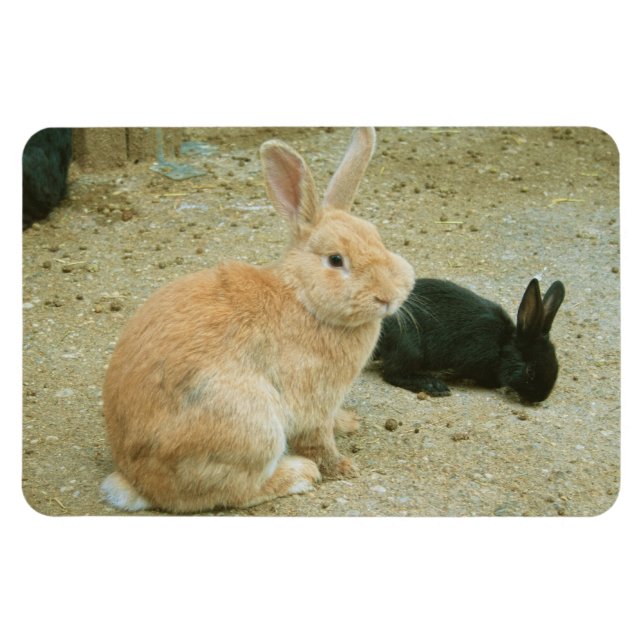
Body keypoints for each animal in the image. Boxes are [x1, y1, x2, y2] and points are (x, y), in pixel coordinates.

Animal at [101, 127, 415, 513]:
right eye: (336, 260)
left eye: (377, 238)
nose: (388, 295)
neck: (303, 298)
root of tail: (138, 482)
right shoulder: (312, 400)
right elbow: (318, 440)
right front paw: (342, 467)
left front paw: (348, 422)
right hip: (253, 424)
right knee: (234, 491)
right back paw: (300, 474)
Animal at [374, 277, 565, 403]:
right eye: (530, 371)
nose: (540, 397)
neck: (501, 346)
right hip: (410, 349)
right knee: (393, 373)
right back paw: (434, 386)